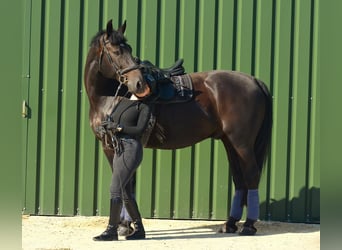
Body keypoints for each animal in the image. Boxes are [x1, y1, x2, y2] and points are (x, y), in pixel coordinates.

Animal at [85, 20, 272, 236]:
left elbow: (123, 183)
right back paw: (230, 224)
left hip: (242, 143)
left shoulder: (113, 146)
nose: (139, 84)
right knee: (239, 179)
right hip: (230, 142)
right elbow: (127, 184)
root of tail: (254, 80)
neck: (107, 98)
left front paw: (123, 226)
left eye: (128, 49)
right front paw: (128, 225)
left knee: (251, 176)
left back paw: (248, 225)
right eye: (115, 51)